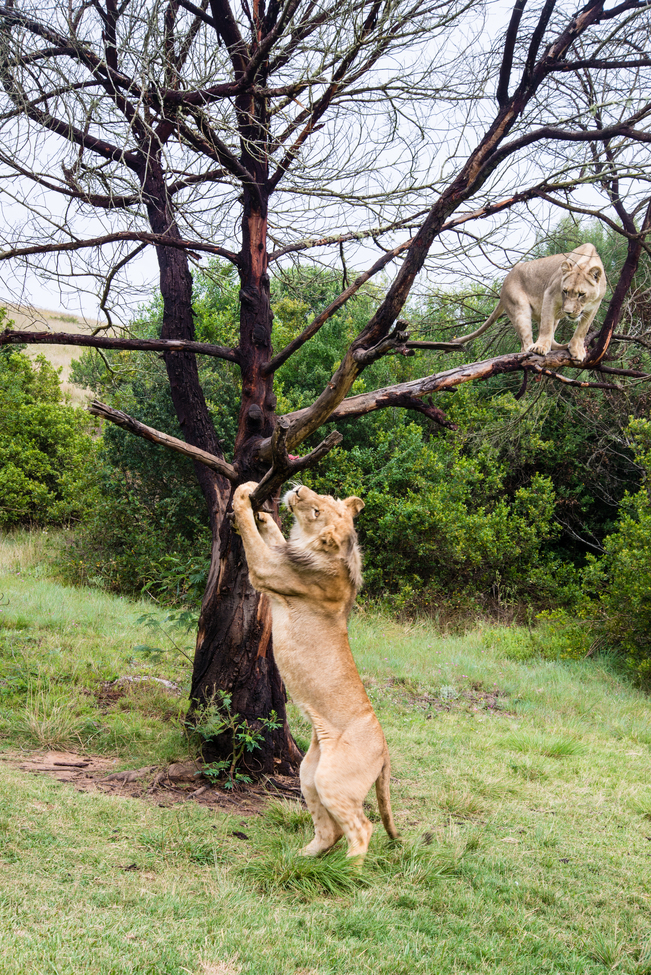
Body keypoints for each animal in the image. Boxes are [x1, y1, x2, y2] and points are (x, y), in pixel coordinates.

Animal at [232, 482, 399, 859]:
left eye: (317, 510)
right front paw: (261, 508)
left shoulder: (269, 570)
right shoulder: (281, 553)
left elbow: (250, 535)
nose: (299, 488)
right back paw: (302, 860)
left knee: (362, 828)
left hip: (332, 779)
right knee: (330, 829)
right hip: (308, 773)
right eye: (324, 498)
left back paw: (347, 870)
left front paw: (243, 497)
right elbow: (273, 534)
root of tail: (385, 751)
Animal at [457, 243, 606, 361]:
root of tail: (504, 283)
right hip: (519, 307)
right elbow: (546, 327)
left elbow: (582, 330)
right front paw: (540, 348)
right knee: (524, 345)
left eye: (581, 294)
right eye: (565, 291)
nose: (568, 312)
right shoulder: (550, 294)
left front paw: (577, 349)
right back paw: (531, 350)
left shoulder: (594, 306)